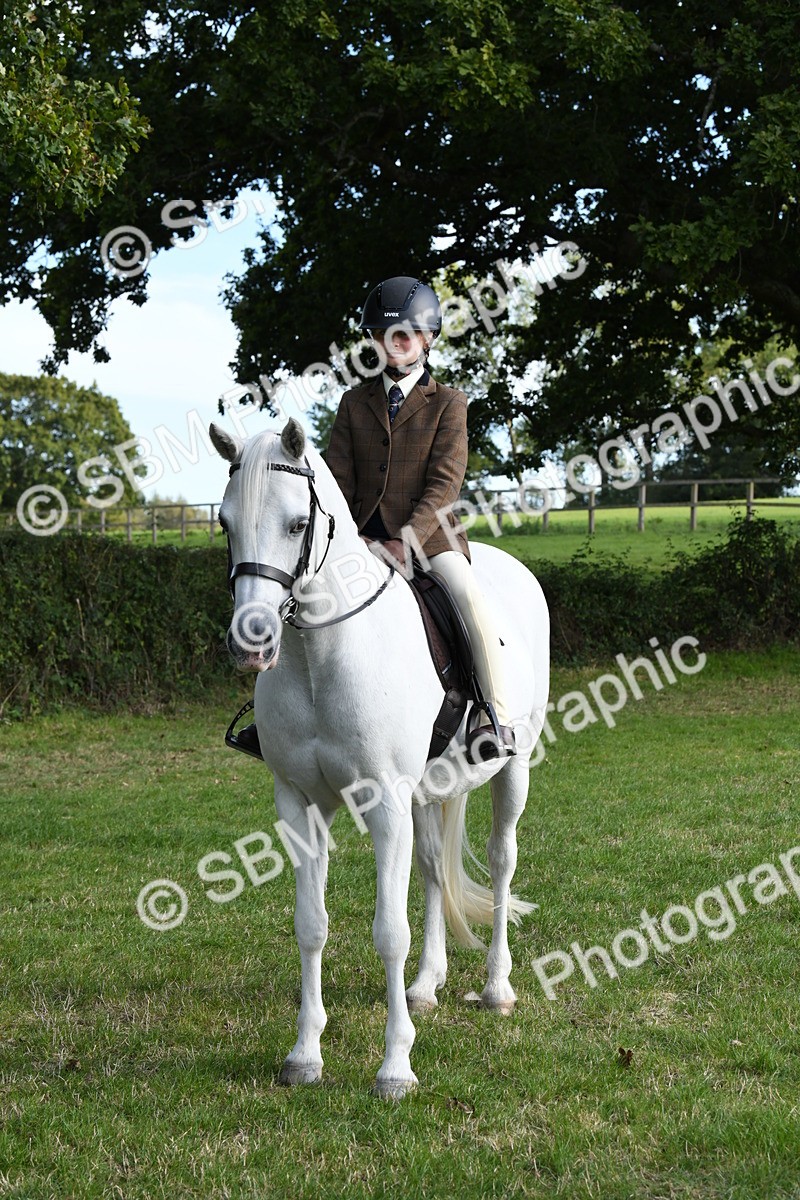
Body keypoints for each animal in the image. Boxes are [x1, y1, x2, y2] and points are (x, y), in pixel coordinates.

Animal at [210, 417, 550, 1099]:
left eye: (297, 523)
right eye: (226, 523)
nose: (251, 643)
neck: (320, 654)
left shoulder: (385, 801)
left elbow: (389, 932)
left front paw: (395, 1067)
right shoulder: (300, 803)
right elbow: (311, 924)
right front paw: (304, 1055)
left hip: (513, 769)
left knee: (503, 862)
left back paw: (497, 988)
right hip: (425, 791)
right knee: (432, 869)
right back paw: (424, 986)